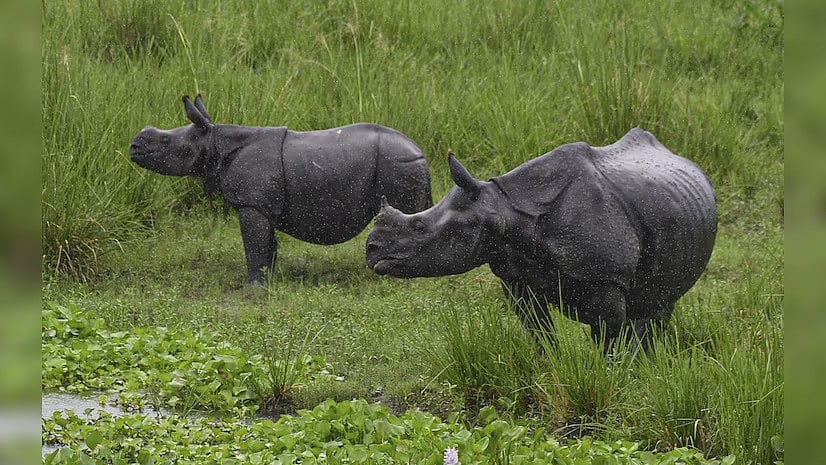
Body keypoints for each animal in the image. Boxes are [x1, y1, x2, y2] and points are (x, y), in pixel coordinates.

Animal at [130, 94, 433, 285]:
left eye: (166, 142)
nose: (134, 145)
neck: (214, 141)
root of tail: (419, 152)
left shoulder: (251, 203)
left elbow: (254, 245)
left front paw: (253, 287)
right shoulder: (262, 205)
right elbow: (267, 245)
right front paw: (270, 279)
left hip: (396, 164)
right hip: (402, 164)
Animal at [366, 128, 717, 350]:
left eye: (419, 227)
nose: (372, 249)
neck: (504, 210)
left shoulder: (607, 280)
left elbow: (609, 341)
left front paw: (609, 378)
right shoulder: (516, 278)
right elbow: (541, 334)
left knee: (658, 306)